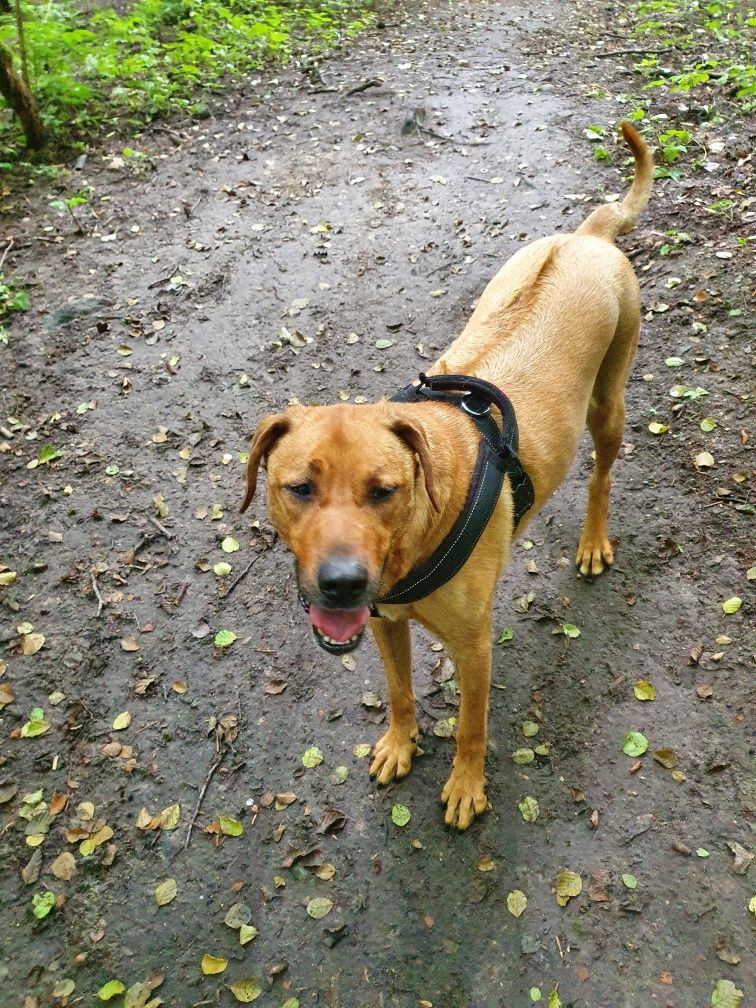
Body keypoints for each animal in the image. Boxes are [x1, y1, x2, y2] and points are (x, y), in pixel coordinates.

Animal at [240, 123, 653, 826]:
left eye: (384, 491)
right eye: (298, 489)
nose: (343, 585)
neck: (414, 540)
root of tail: (587, 237)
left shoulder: (474, 645)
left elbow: (470, 725)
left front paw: (465, 786)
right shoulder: (384, 622)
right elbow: (401, 691)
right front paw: (400, 743)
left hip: (609, 402)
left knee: (601, 476)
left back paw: (594, 541)